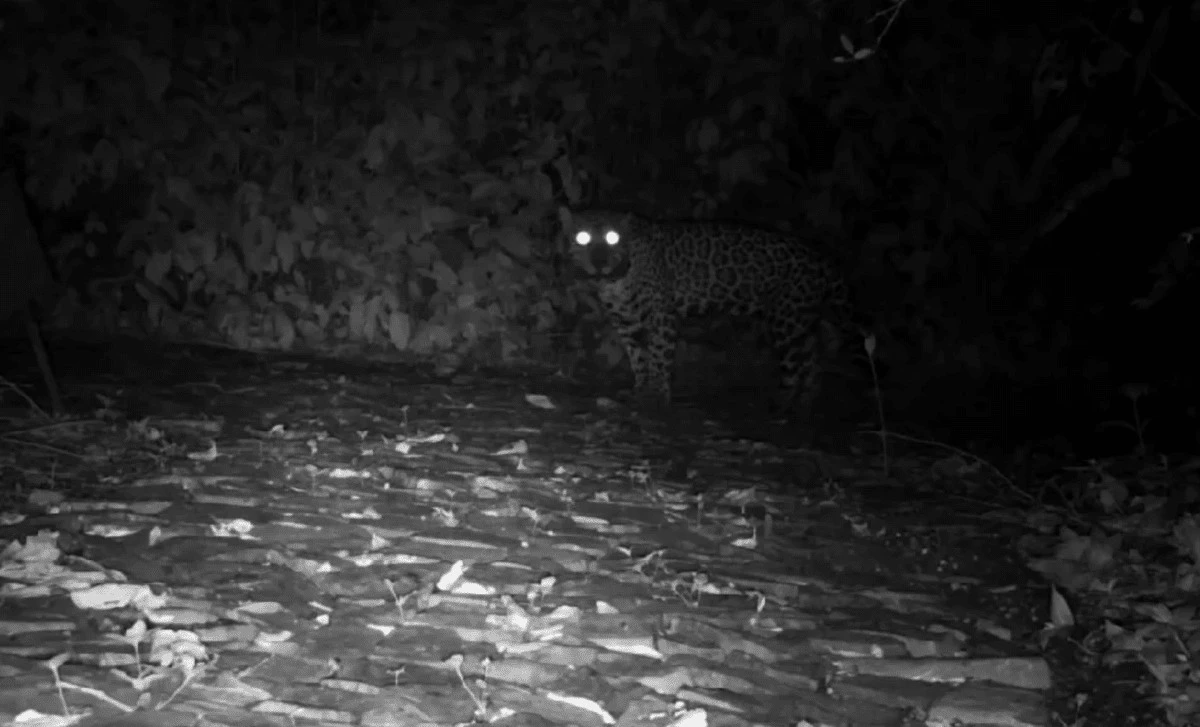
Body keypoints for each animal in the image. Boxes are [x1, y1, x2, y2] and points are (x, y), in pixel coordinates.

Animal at [567, 208, 855, 424]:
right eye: (581, 238)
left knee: (797, 366)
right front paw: (641, 390)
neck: (614, 280)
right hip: (800, 320)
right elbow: (638, 358)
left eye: (612, 237)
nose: (599, 261)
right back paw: (803, 408)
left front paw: (657, 398)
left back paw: (779, 408)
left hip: (787, 320)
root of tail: (822, 258)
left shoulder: (661, 315)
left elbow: (658, 356)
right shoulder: (626, 321)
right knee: (813, 361)